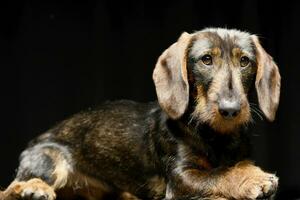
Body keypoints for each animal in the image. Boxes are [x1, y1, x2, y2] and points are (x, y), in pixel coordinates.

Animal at [0, 28, 282, 200]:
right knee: (8, 188)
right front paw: (255, 180)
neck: (215, 137)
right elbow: (220, 175)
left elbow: (236, 165)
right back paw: (32, 189)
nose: (230, 109)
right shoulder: (182, 178)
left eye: (244, 61)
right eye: (206, 59)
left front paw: (250, 172)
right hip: (50, 159)